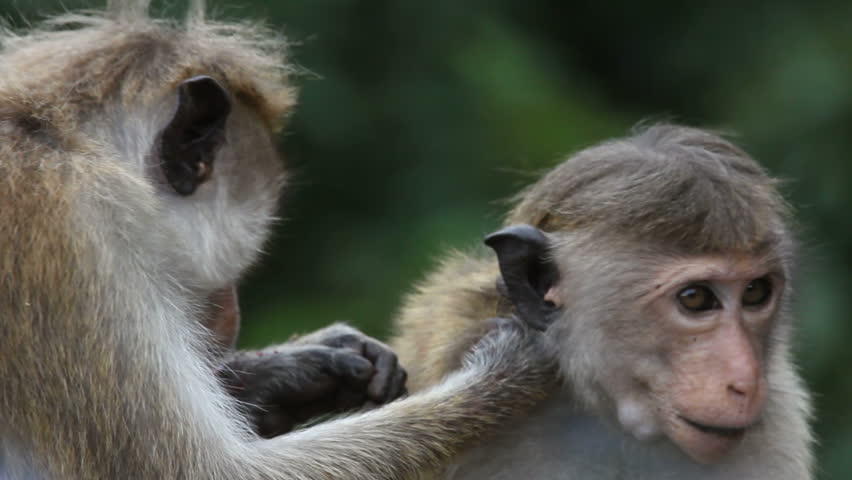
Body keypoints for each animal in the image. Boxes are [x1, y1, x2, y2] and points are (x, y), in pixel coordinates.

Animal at [0, 2, 559, 479]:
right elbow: (208, 471)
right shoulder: (75, 233)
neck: (60, 139)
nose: (231, 320)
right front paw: (507, 370)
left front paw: (287, 374)